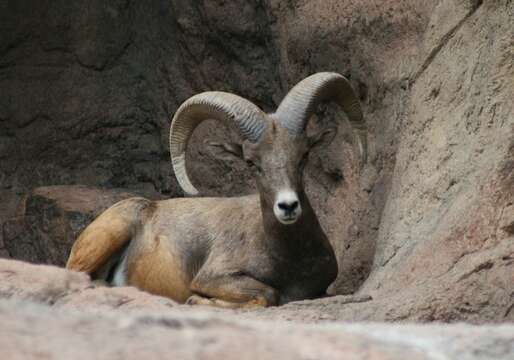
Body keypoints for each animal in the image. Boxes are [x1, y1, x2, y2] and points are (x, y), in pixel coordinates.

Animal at [67, 71, 364, 308]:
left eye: (304, 155)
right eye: (251, 162)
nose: (288, 206)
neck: (289, 259)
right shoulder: (213, 277)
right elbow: (268, 295)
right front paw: (196, 300)